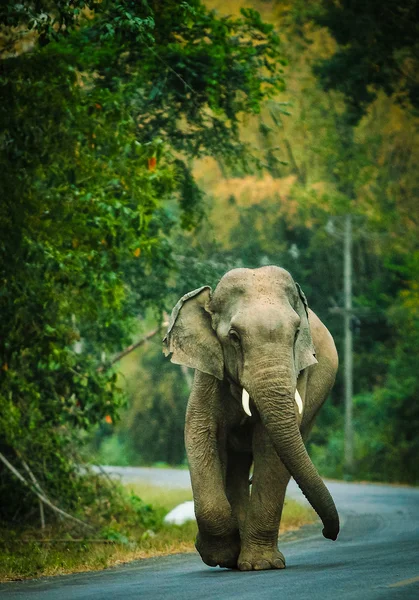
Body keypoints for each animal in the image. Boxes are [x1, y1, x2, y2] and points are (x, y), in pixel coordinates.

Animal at [162, 264, 340, 568]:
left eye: (296, 334)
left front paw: (260, 565)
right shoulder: (209, 372)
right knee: (236, 464)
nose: (329, 534)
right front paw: (220, 555)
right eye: (234, 336)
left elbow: (269, 447)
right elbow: (200, 432)